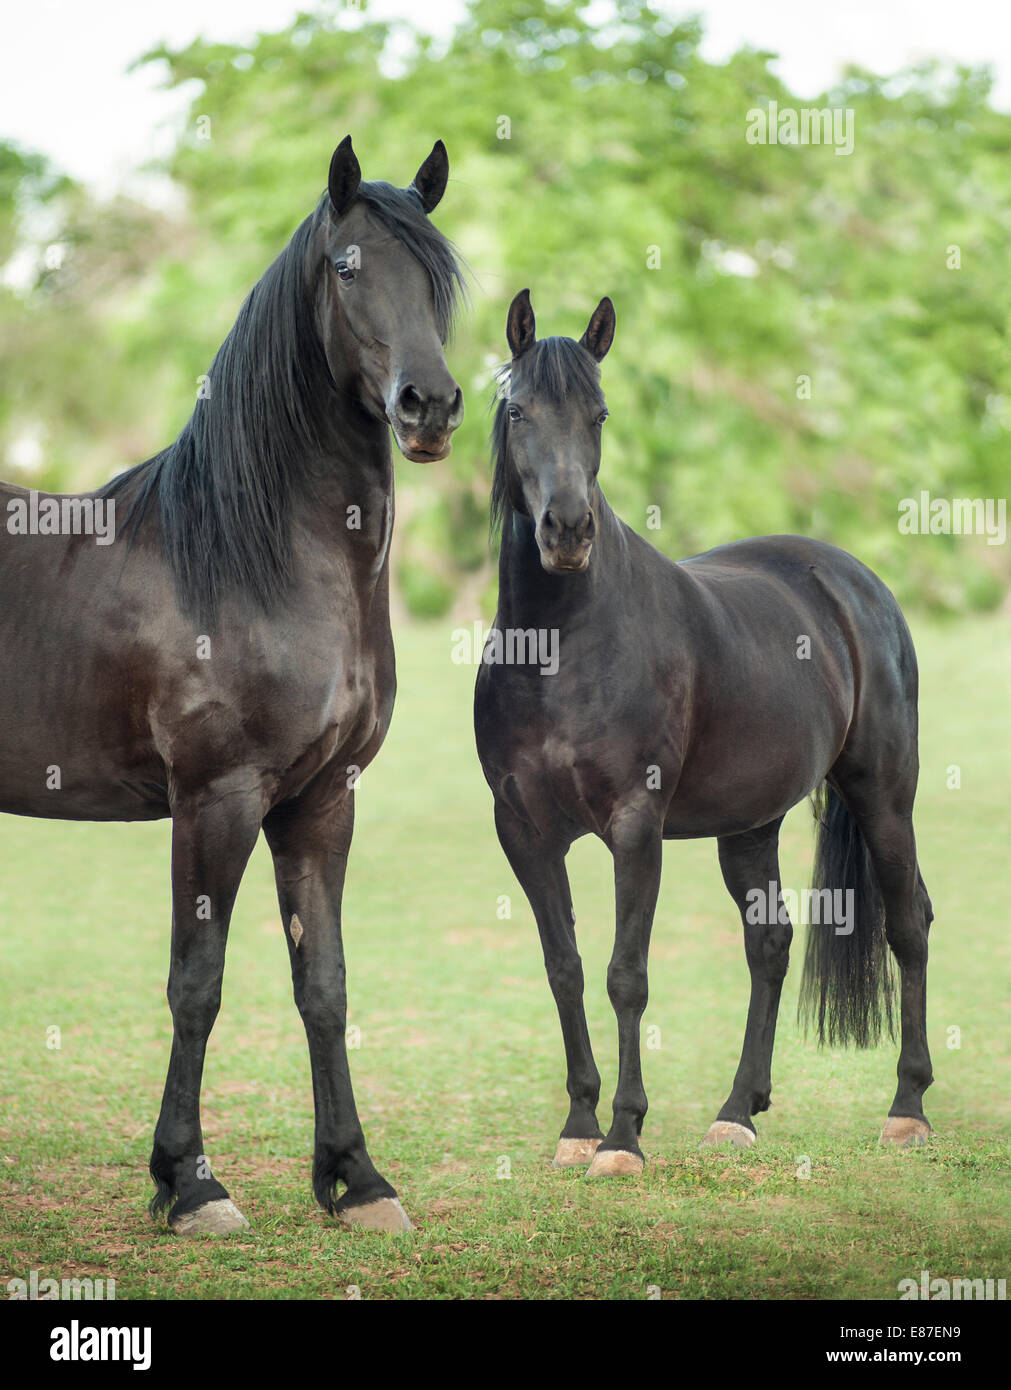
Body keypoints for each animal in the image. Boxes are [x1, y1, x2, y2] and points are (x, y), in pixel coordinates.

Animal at [0, 137, 465, 1234]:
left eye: (441, 277)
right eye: (346, 266)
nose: (429, 407)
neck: (258, 559)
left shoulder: (322, 799)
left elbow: (324, 983)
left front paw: (357, 1179)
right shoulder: (216, 797)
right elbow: (197, 984)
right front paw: (190, 1184)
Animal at [473, 289, 934, 1177]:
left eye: (599, 413)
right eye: (516, 410)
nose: (567, 531)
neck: (559, 649)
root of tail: (855, 583)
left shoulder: (634, 826)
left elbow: (625, 974)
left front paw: (622, 1137)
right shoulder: (522, 832)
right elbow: (563, 969)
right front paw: (578, 1124)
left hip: (883, 797)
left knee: (908, 925)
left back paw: (906, 1110)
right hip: (750, 825)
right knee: (770, 944)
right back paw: (736, 1112)